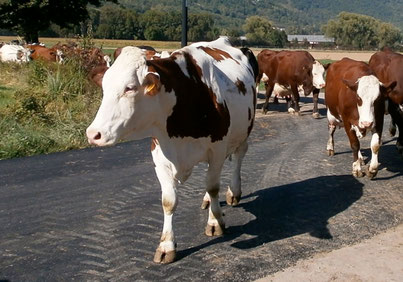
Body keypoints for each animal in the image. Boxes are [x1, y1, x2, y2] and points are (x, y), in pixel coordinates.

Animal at [86, 38, 258, 264]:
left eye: (130, 88)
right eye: (104, 87)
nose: (93, 134)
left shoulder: (217, 150)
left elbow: (213, 187)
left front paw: (215, 222)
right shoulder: (159, 156)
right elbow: (169, 201)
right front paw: (166, 245)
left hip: (243, 132)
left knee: (238, 157)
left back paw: (233, 192)